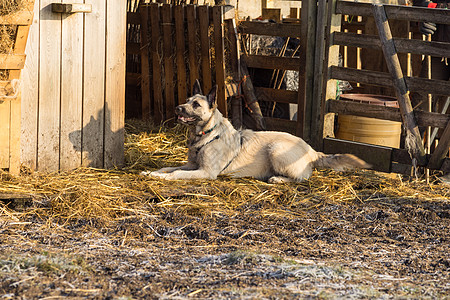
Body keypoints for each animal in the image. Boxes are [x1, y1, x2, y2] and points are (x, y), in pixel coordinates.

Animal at [142, 80, 370, 183]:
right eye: (187, 100)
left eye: (196, 105)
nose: (177, 108)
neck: (206, 134)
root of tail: (312, 151)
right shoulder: (191, 165)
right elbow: (168, 167)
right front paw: (151, 172)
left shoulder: (205, 172)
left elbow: (175, 173)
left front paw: (161, 178)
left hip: (276, 150)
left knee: (303, 178)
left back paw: (277, 179)